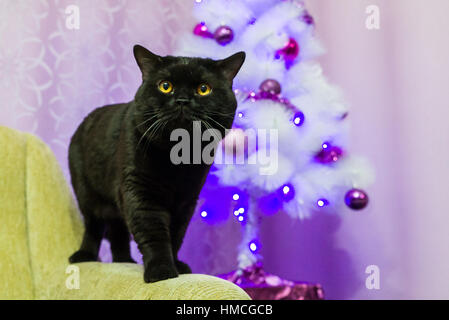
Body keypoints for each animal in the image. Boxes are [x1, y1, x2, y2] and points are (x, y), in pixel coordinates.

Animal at [68, 44, 245, 282]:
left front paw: (177, 265)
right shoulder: (140, 193)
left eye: (203, 89)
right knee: (93, 228)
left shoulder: (186, 200)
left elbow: (176, 235)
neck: (177, 160)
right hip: (88, 195)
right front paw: (161, 271)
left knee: (118, 232)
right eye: (165, 86)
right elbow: (154, 234)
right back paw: (85, 255)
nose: (182, 100)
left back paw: (124, 260)